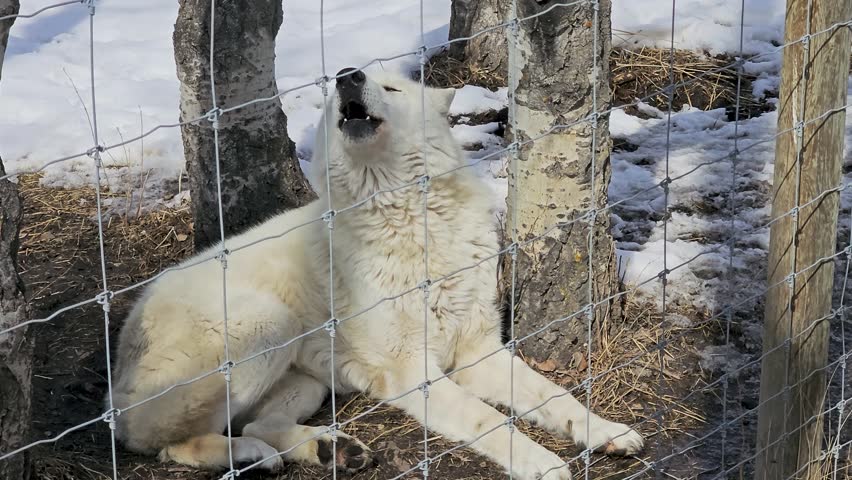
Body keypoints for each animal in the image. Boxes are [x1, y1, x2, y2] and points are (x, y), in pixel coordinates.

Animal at [110, 68, 643, 480]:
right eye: (337, 93)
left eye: (391, 88)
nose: (348, 75)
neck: (405, 218)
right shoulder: (416, 374)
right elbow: (487, 419)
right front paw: (542, 461)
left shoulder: (478, 352)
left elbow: (555, 395)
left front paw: (606, 431)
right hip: (266, 324)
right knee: (161, 444)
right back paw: (252, 456)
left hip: (307, 382)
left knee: (253, 425)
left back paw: (332, 449)